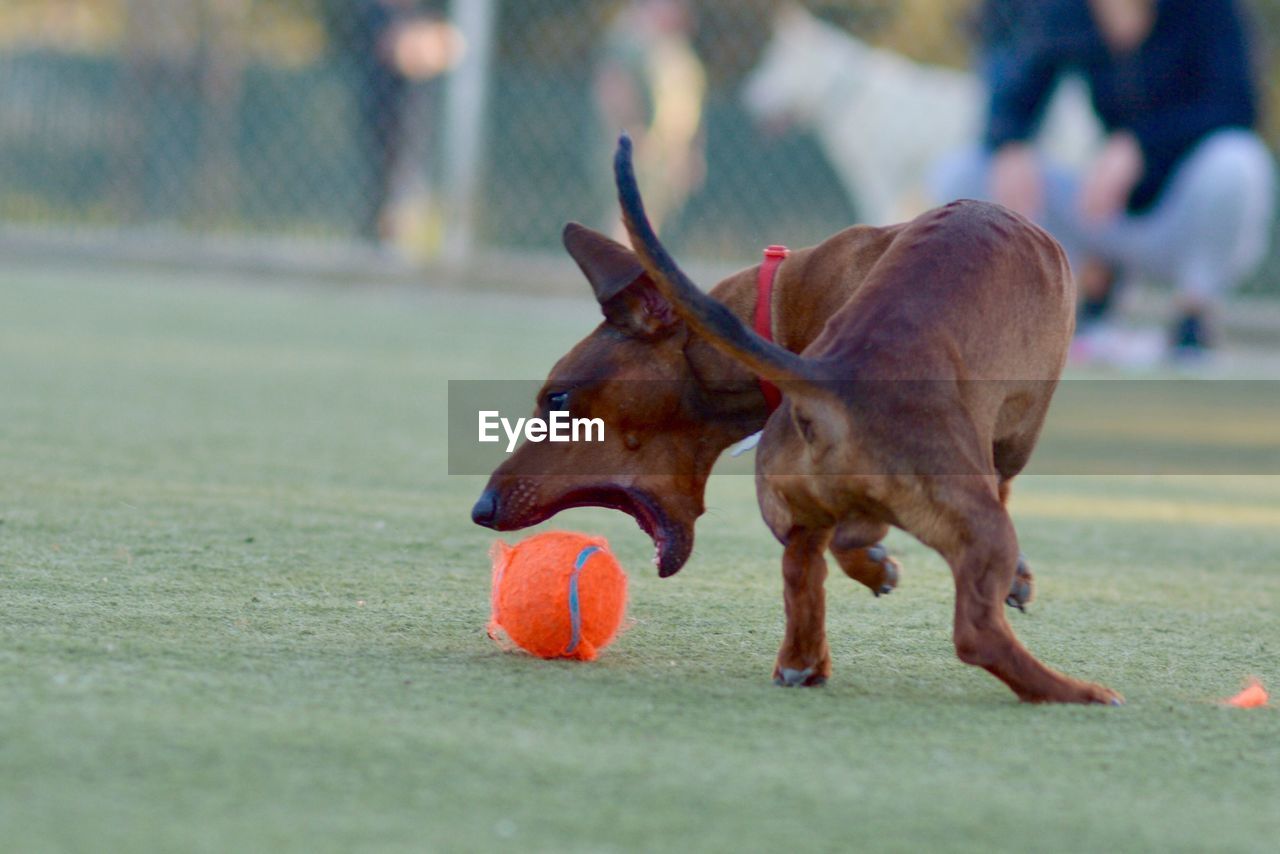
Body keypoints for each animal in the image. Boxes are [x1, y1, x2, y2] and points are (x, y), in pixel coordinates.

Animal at [473, 136, 1121, 706]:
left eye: (556, 399)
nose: (483, 507)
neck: (780, 304)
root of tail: (831, 377)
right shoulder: (1015, 433)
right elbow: (1004, 480)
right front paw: (1014, 579)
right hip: (973, 511)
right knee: (972, 629)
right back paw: (1073, 692)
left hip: (798, 511)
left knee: (806, 570)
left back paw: (803, 660)